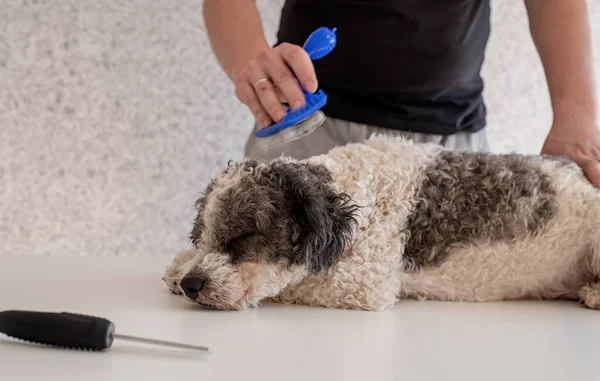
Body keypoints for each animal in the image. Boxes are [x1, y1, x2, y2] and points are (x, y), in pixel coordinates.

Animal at [162, 135, 600, 310]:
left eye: (244, 235)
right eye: (201, 235)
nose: (193, 284)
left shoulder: (364, 284)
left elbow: (292, 283)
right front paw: (179, 265)